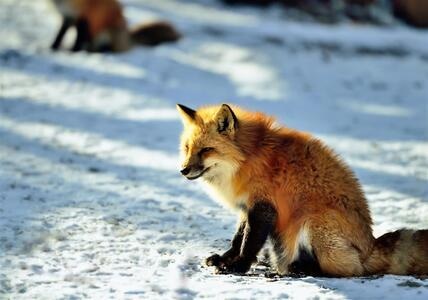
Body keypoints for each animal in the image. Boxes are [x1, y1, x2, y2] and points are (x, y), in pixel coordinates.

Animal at [49, 0, 181, 52]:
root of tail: (128, 35)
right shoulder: (67, 16)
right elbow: (59, 35)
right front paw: (53, 48)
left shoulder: (84, 16)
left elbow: (78, 40)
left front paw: (73, 52)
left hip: (110, 31)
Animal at [176, 103, 428, 276]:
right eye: (187, 148)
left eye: (206, 150)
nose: (183, 170)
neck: (248, 158)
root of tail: (371, 245)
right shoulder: (247, 206)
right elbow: (238, 239)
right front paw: (226, 259)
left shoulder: (263, 206)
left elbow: (249, 242)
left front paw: (238, 266)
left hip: (313, 222)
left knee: (349, 270)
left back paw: (300, 270)